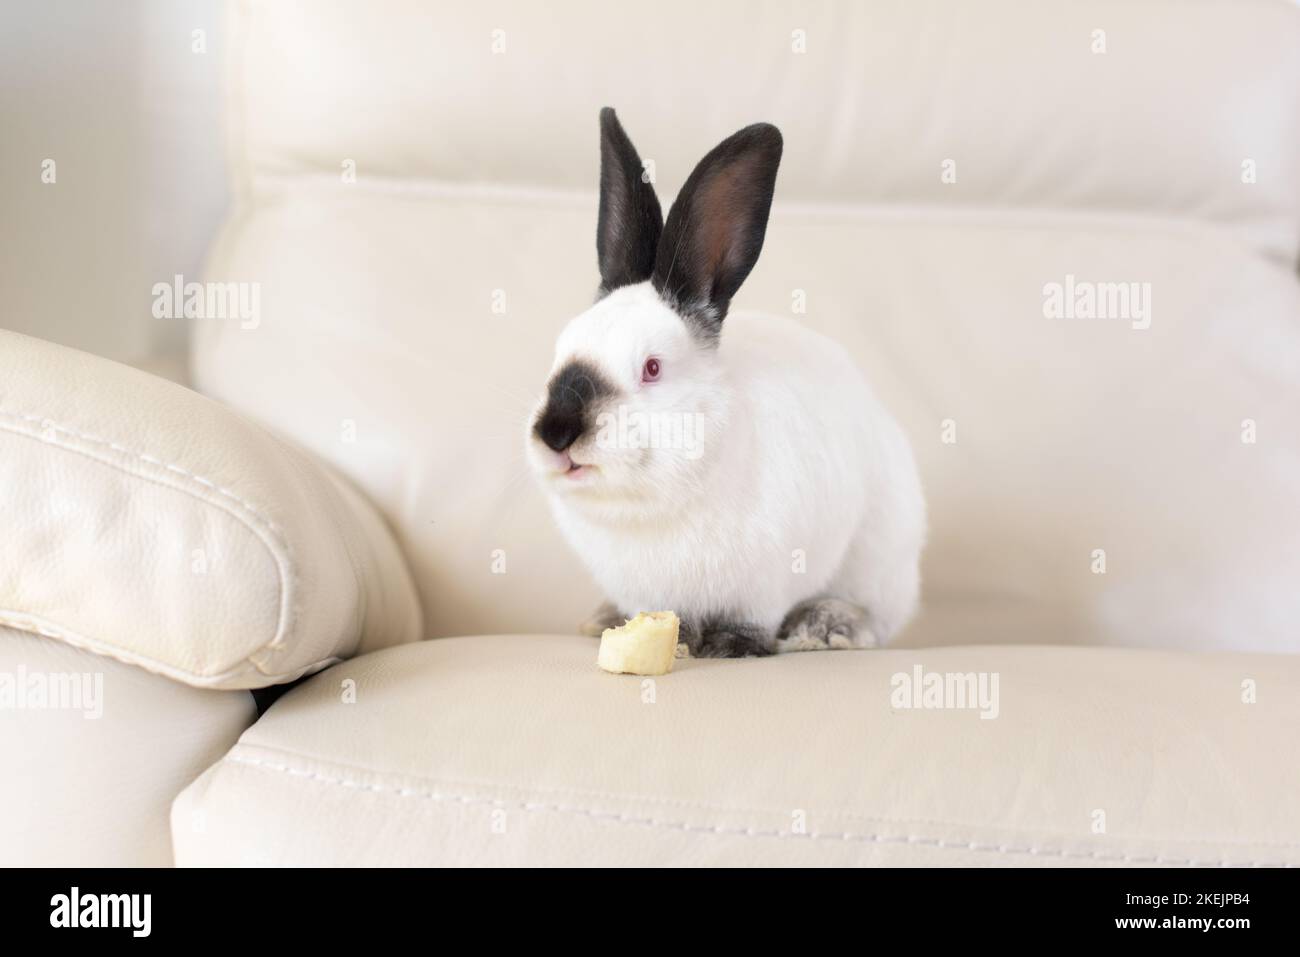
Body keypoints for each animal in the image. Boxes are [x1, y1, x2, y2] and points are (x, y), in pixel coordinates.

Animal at [526, 107, 926, 658]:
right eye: (562, 346)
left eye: (652, 367)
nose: (557, 433)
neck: (651, 503)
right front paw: (666, 638)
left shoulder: (767, 582)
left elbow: (752, 619)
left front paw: (730, 645)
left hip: (881, 562)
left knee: (875, 618)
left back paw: (824, 627)